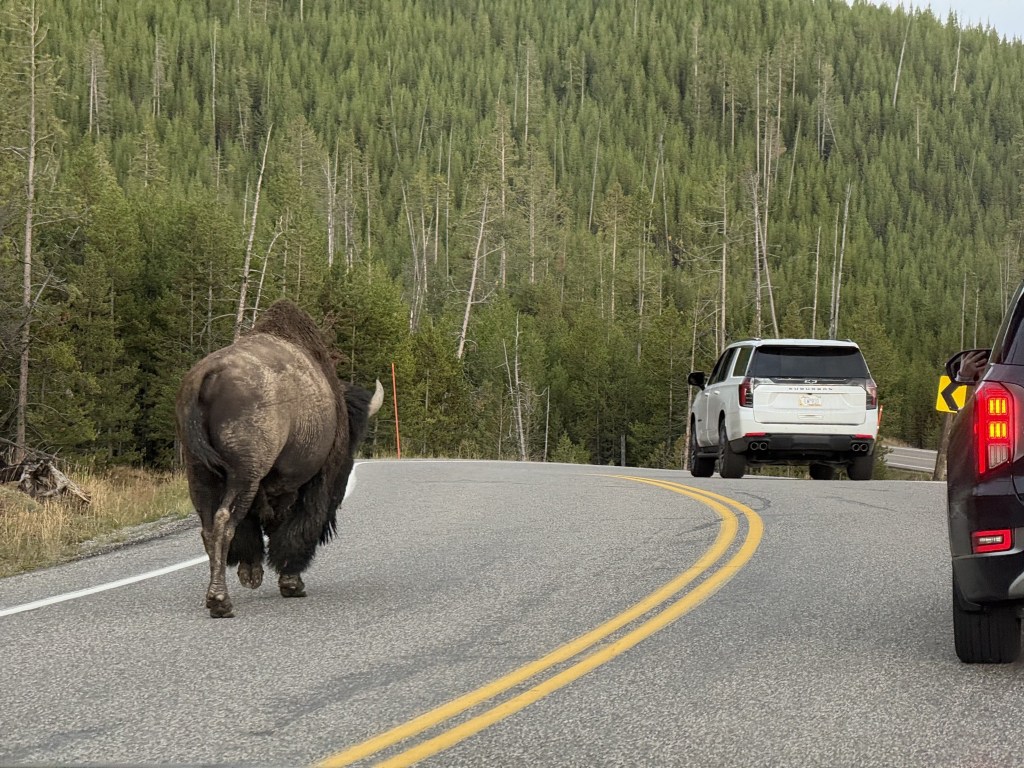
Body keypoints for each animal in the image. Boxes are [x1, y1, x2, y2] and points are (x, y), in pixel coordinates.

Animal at [175, 300, 383, 617]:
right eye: (353, 436)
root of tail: (207, 376)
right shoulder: (311, 483)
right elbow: (297, 527)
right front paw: (291, 582)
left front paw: (252, 574)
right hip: (244, 474)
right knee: (225, 521)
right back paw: (221, 602)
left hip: (200, 472)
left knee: (209, 528)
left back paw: (217, 596)